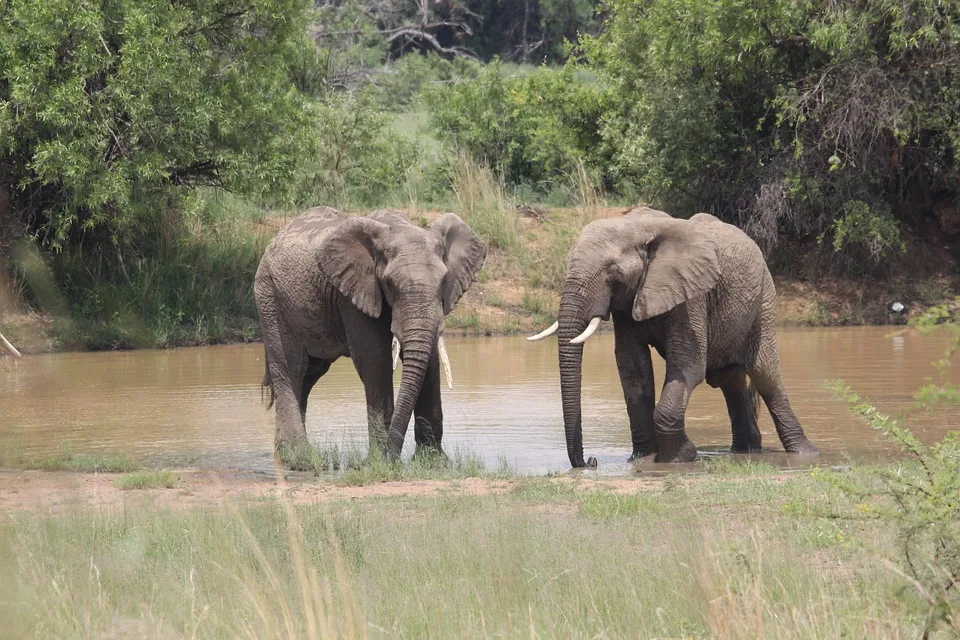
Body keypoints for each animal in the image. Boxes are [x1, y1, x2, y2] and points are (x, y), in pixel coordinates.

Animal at [253, 208, 484, 462]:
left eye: (443, 281)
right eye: (390, 284)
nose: (393, 457)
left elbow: (430, 358)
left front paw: (435, 462)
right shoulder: (354, 293)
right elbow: (375, 358)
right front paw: (380, 461)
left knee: (310, 373)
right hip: (269, 298)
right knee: (291, 368)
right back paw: (298, 457)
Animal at [524, 208, 816, 468]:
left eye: (613, 273)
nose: (591, 461)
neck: (637, 226)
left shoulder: (692, 294)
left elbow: (688, 366)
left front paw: (679, 458)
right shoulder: (628, 302)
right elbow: (633, 369)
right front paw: (642, 460)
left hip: (764, 299)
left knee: (765, 375)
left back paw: (804, 453)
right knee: (731, 380)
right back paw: (746, 450)